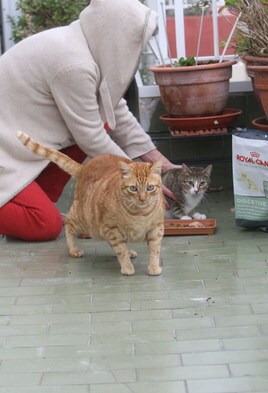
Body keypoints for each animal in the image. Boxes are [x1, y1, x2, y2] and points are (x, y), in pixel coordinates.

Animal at [17, 130, 163, 274]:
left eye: (150, 188)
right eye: (133, 189)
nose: (142, 199)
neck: (140, 214)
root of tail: (84, 167)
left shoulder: (156, 229)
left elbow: (155, 250)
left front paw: (153, 268)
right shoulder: (113, 228)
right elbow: (121, 251)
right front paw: (127, 267)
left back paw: (130, 251)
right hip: (84, 219)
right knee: (68, 223)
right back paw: (73, 249)